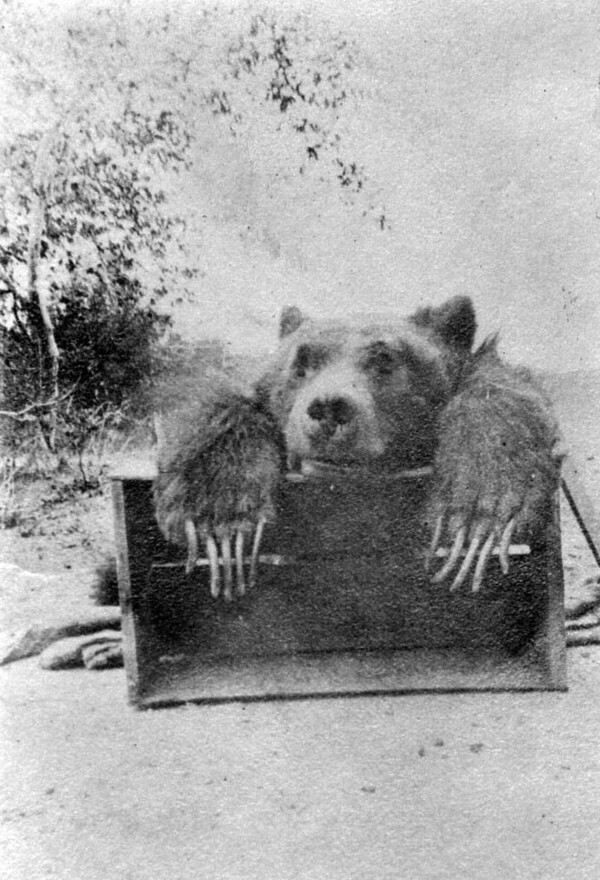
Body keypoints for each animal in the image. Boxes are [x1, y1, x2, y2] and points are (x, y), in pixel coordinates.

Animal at [153, 296, 563, 602]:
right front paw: (219, 519)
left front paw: (478, 516)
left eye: (384, 359)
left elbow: (499, 400)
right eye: (301, 363)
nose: (329, 407)